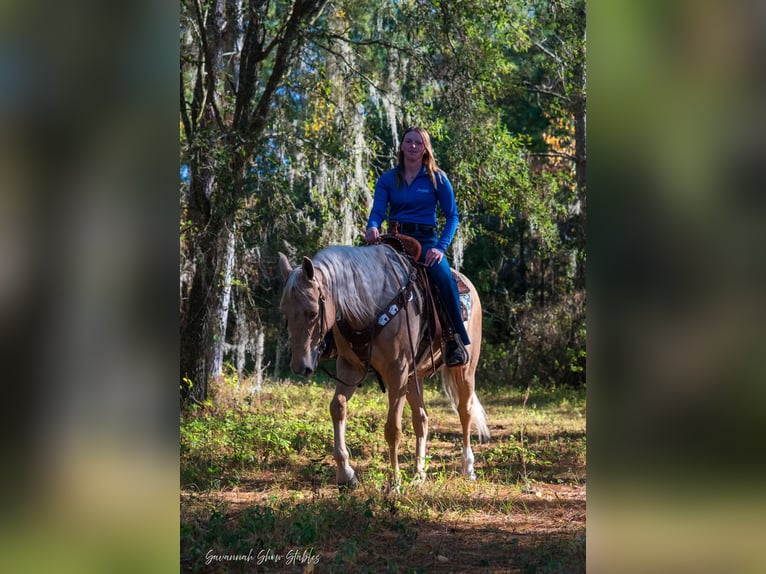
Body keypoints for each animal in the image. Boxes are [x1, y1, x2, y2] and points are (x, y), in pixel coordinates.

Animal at [280, 245, 488, 492]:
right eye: (285, 312)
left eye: (312, 312)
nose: (300, 367)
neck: (370, 304)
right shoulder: (350, 367)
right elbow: (338, 407)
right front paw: (346, 474)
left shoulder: (397, 373)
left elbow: (393, 428)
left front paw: (394, 483)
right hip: (413, 378)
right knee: (422, 419)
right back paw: (419, 474)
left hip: (464, 370)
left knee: (465, 412)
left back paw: (467, 467)